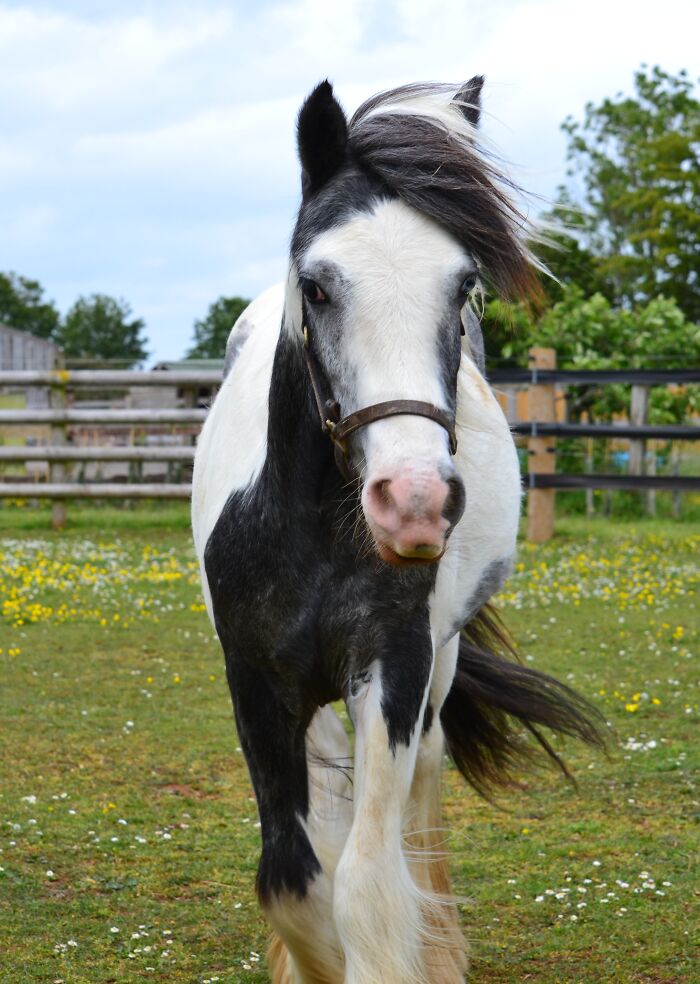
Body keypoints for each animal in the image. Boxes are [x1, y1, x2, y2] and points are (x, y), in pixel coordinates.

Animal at [192, 77, 603, 984]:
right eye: (317, 285)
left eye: (464, 287)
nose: (413, 502)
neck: (317, 533)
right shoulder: (255, 681)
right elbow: (295, 878)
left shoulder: (396, 665)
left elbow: (369, 886)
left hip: (439, 666)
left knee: (420, 788)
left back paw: (439, 942)